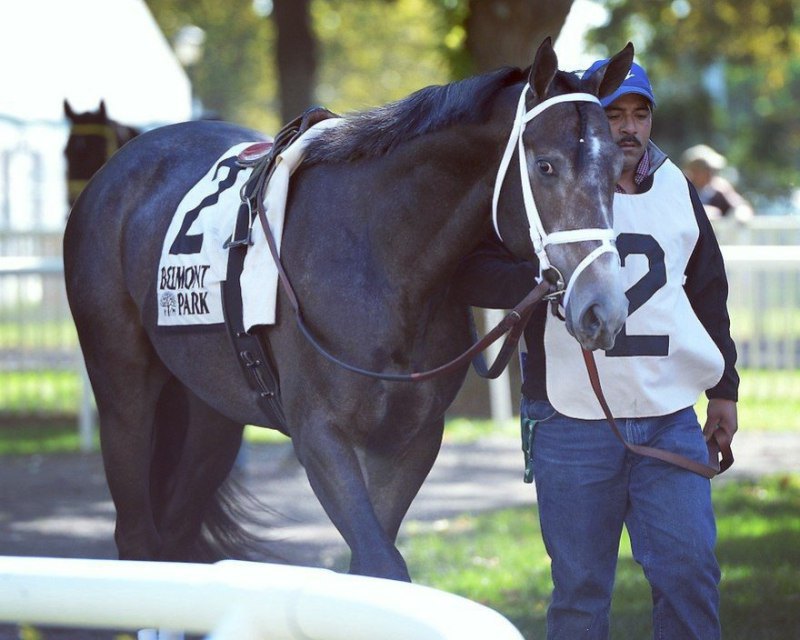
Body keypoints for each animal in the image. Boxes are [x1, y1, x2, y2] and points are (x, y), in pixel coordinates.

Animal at [62, 38, 636, 580]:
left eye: (616, 168)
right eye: (546, 166)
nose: (602, 307)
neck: (379, 257)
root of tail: (118, 172)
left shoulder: (411, 440)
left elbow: (371, 563)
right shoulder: (321, 436)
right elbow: (383, 564)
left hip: (211, 415)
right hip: (124, 395)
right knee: (138, 535)